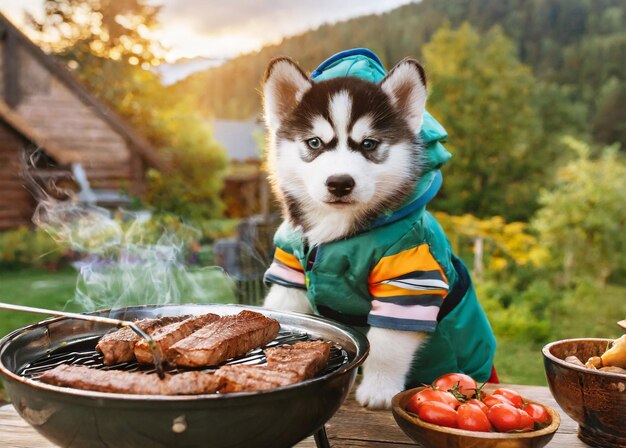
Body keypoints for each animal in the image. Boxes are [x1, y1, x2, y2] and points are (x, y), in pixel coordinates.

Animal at [258, 53, 492, 410]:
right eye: (315, 142)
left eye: (368, 144)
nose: (340, 183)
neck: (338, 231)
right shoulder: (291, 270)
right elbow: (285, 307)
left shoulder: (408, 280)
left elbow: (386, 345)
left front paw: (379, 390)